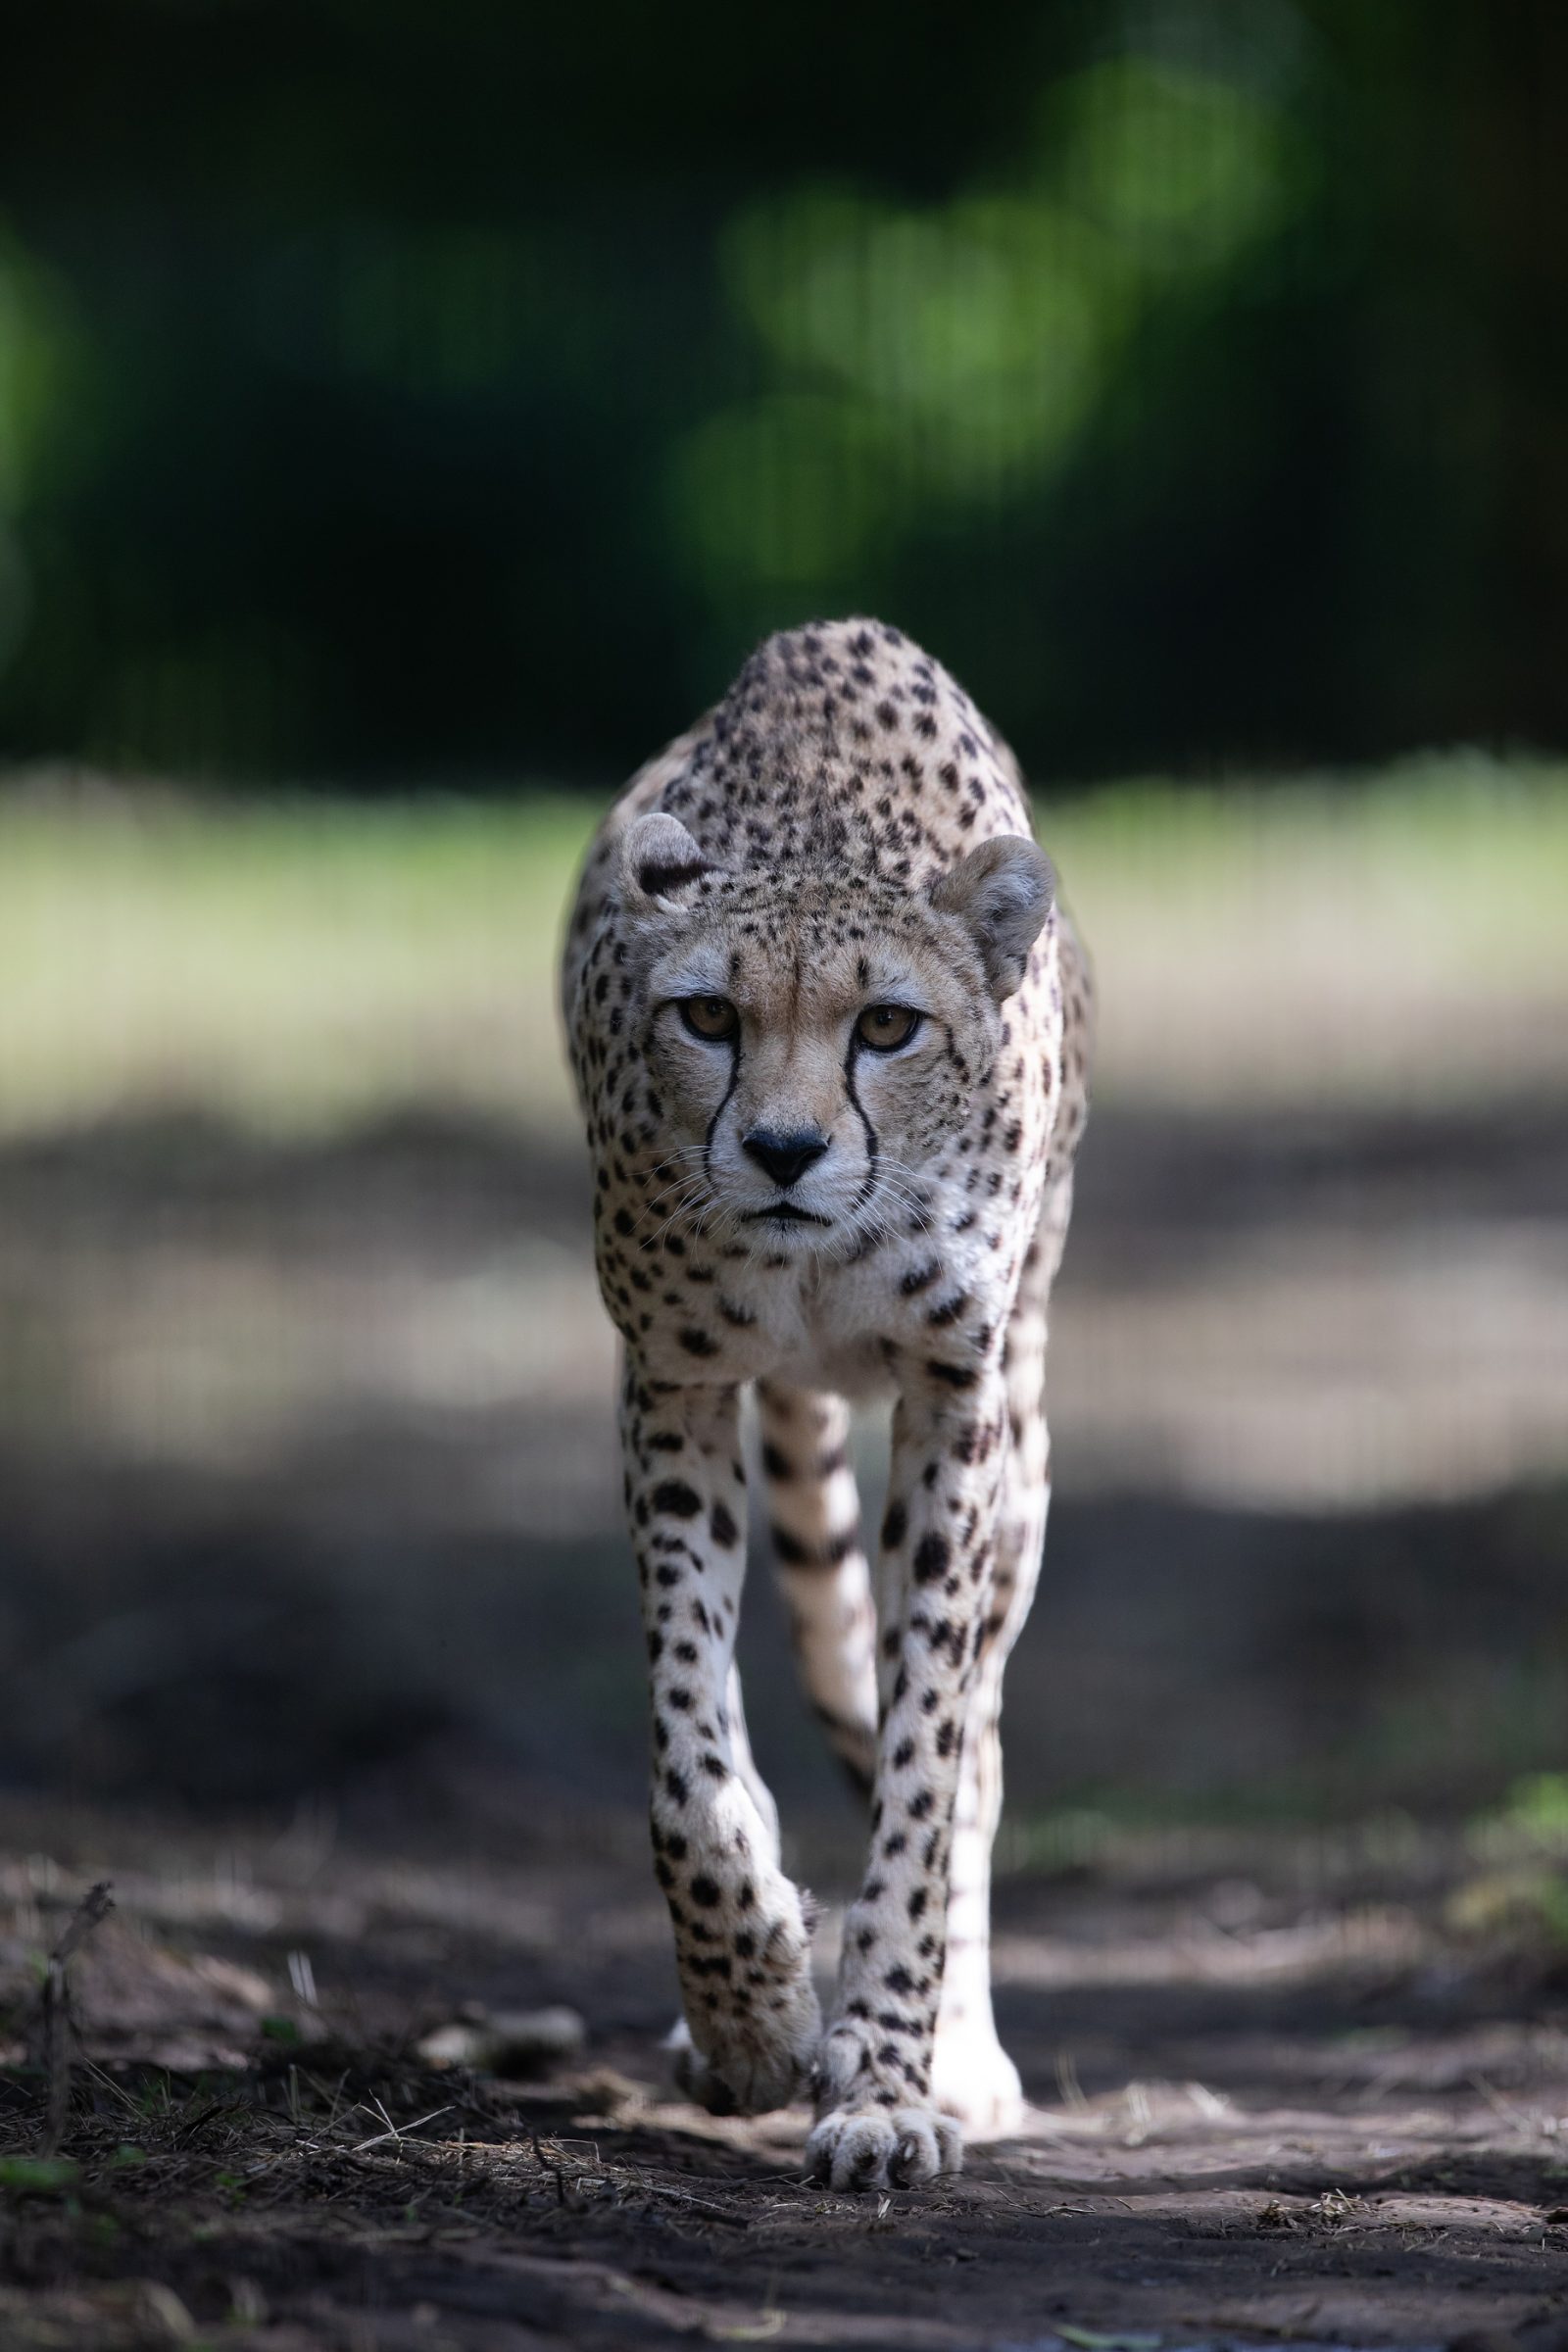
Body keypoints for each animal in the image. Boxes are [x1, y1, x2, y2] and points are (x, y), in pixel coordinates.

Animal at [562, 620, 1091, 2182]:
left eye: (888, 1027)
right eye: (707, 1016)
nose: (785, 1151)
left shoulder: (958, 1403)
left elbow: (926, 1773)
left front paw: (894, 2080)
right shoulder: (675, 1376)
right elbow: (690, 1758)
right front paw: (748, 2013)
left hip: (1024, 1454)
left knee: (977, 1751)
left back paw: (955, 2052)